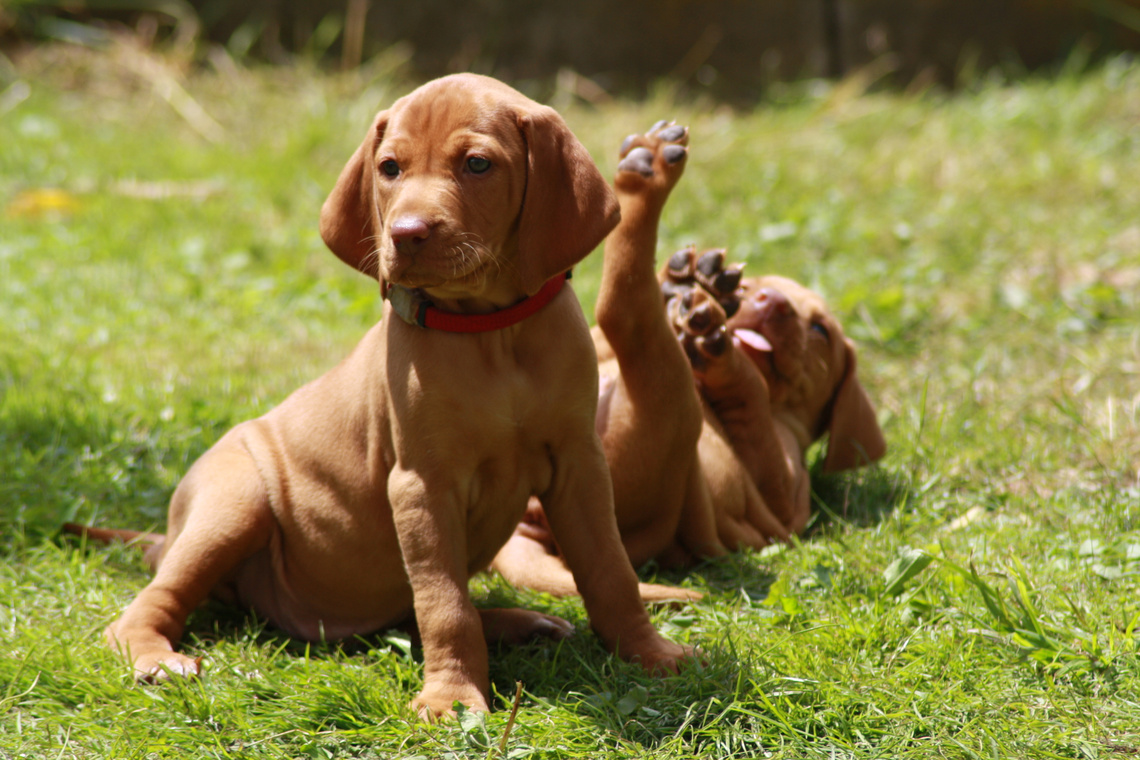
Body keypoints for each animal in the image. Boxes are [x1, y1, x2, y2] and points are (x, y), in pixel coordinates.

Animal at [73, 75, 693, 720]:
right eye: (390, 168)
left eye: (477, 164)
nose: (406, 233)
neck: (490, 331)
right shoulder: (423, 484)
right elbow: (445, 604)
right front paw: (452, 697)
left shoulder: (579, 465)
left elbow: (610, 570)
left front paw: (649, 651)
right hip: (234, 502)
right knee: (149, 605)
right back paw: (155, 656)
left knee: (414, 612)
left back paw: (520, 623)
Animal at [494, 120, 884, 601]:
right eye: (755, 286)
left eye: (820, 331)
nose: (771, 303)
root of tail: (528, 523)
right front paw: (695, 286)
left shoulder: (780, 498)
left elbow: (751, 395)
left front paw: (718, 349)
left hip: (650, 430)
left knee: (625, 315)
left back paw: (649, 178)